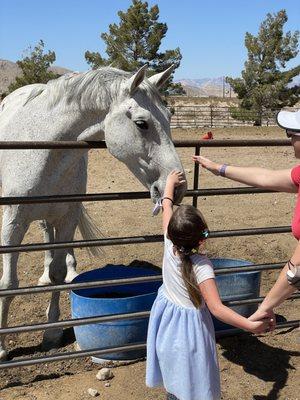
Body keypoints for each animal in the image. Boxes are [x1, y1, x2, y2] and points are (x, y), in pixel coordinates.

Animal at [0, 65, 186, 360]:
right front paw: (1, 347)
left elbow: (57, 276)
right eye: (141, 123)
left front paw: (51, 333)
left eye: (169, 117)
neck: (44, 149)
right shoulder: (13, 222)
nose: (178, 185)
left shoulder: (67, 217)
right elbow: (8, 284)